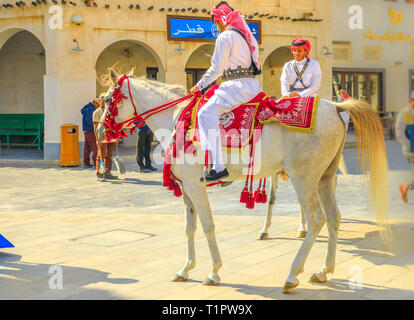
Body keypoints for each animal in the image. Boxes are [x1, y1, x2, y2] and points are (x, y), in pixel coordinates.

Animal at [98, 69, 392, 292]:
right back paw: (323, 270)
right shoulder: (186, 187)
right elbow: (189, 228)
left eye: (109, 98)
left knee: (316, 220)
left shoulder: (195, 184)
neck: (176, 118)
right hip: (324, 178)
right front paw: (185, 268)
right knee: (333, 218)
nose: (100, 130)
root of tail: (338, 108)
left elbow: (208, 226)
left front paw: (213, 272)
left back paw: (292, 274)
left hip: (304, 178)